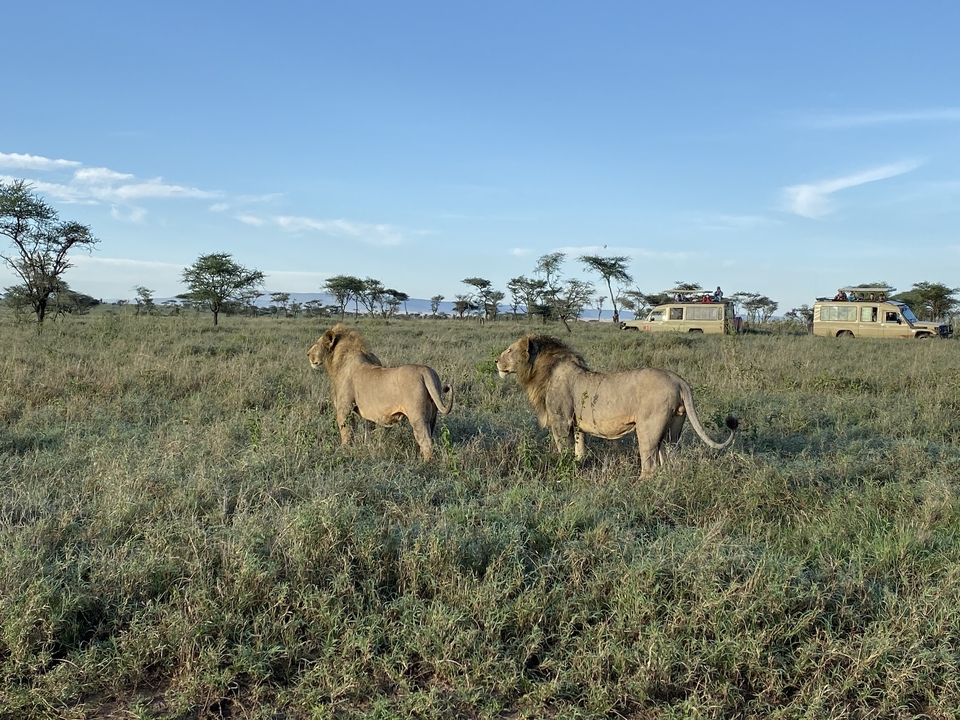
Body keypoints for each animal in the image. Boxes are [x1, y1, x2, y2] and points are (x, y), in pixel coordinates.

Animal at [308, 324, 453, 460]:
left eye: (317, 343)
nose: (308, 354)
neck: (338, 361)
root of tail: (425, 371)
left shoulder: (345, 408)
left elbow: (347, 433)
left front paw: (345, 452)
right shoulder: (368, 412)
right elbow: (368, 432)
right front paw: (367, 448)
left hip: (417, 416)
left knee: (426, 442)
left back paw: (424, 464)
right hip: (433, 415)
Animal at [496, 334, 738, 477]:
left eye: (509, 350)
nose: (495, 361)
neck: (541, 371)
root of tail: (678, 379)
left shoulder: (561, 422)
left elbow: (563, 449)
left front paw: (562, 466)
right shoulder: (577, 424)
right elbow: (579, 449)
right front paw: (579, 464)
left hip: (648, 428)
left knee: (649, 464)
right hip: (673, 429)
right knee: (670, 457)